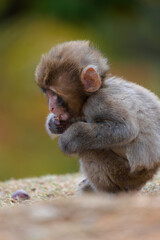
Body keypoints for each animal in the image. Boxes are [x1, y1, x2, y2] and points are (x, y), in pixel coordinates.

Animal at [35, 40, 160, 193]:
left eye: (54, 94)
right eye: (47, 94)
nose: (51, 107)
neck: (98, 90)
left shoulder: (99, 102)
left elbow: (125, 129)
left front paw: (67, 139)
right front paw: (54, 123)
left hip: (125, 176)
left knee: (89, 151)